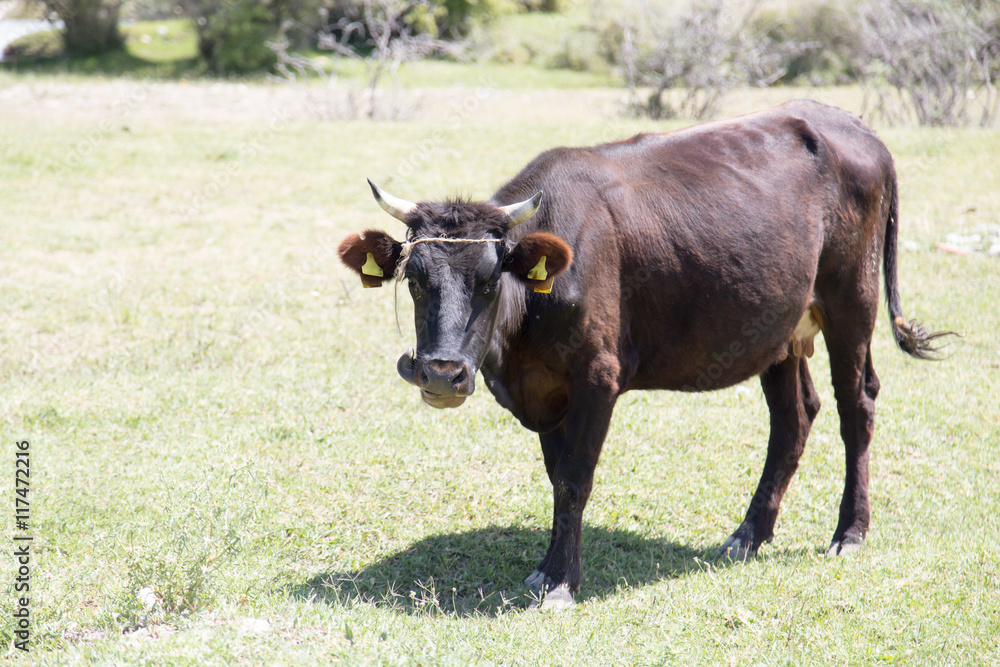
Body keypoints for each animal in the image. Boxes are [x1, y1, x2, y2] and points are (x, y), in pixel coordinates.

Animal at [338, 100, 952, 612]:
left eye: (490, 280)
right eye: (415, 279)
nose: (442, 373)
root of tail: (856, 128)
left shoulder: (597, 378)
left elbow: (575, 479)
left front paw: (561, 584)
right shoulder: (546, 391)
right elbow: (556, 475)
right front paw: (546, 568)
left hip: (853, 303)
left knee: (857, 406)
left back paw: (849, 533)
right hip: (777, 326)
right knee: (794, 417)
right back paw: (747, 536)